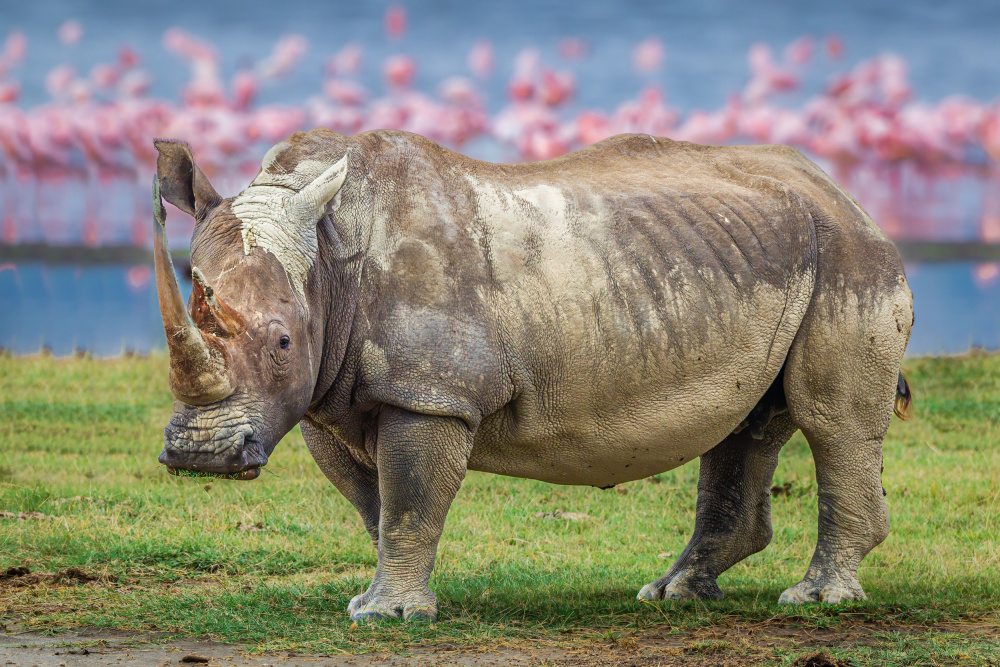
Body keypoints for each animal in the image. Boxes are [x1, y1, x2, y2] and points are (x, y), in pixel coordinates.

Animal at [154, 129, 916, 620]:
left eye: (283, 340)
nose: (202, 455)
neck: (325, 257)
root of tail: (842, 192)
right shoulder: (328, 400)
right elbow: (377, 505)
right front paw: (380, 598)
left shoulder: (432, 393)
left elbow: (409, 497)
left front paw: (390, 614)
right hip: (766, 256)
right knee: (747, 425)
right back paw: (672, 594)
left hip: (847, 255)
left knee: (832, 422)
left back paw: (815, 600)